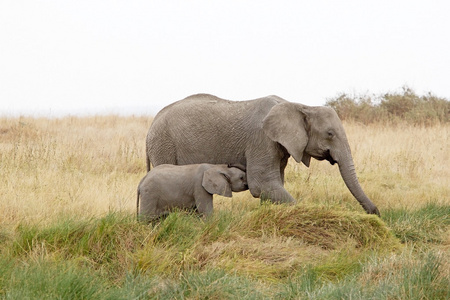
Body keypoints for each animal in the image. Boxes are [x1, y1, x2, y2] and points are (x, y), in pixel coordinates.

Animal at [147, 94, 380, 216]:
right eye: (330, 134)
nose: (376, 214)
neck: (299, 105)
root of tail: (152, 122)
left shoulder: (280, 147)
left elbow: (274, 186)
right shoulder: (261, 139)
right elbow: (262, 185)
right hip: (164, 145)